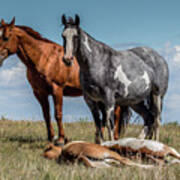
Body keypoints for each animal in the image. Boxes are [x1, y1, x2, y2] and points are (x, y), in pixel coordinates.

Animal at [0, 17, 128, 145]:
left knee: (115, 115)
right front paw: (50, 138)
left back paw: (115, 139)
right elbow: (46, 115)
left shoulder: (57, 89)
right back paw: (98, 139)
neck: (45, 58)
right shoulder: (40, 93)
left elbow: (58, 114)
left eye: (6, 37)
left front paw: (61, 139)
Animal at [60, 14, 169, 143]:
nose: (67, 59)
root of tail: (160, 58)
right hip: (135, 101)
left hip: (157, 96)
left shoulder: (109, 99)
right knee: (149, 118)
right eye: (63, 36)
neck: (97, 62)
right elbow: (98, 124)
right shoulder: (91, 100)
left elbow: (109, 124)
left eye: (75, 36)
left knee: (157, 121)